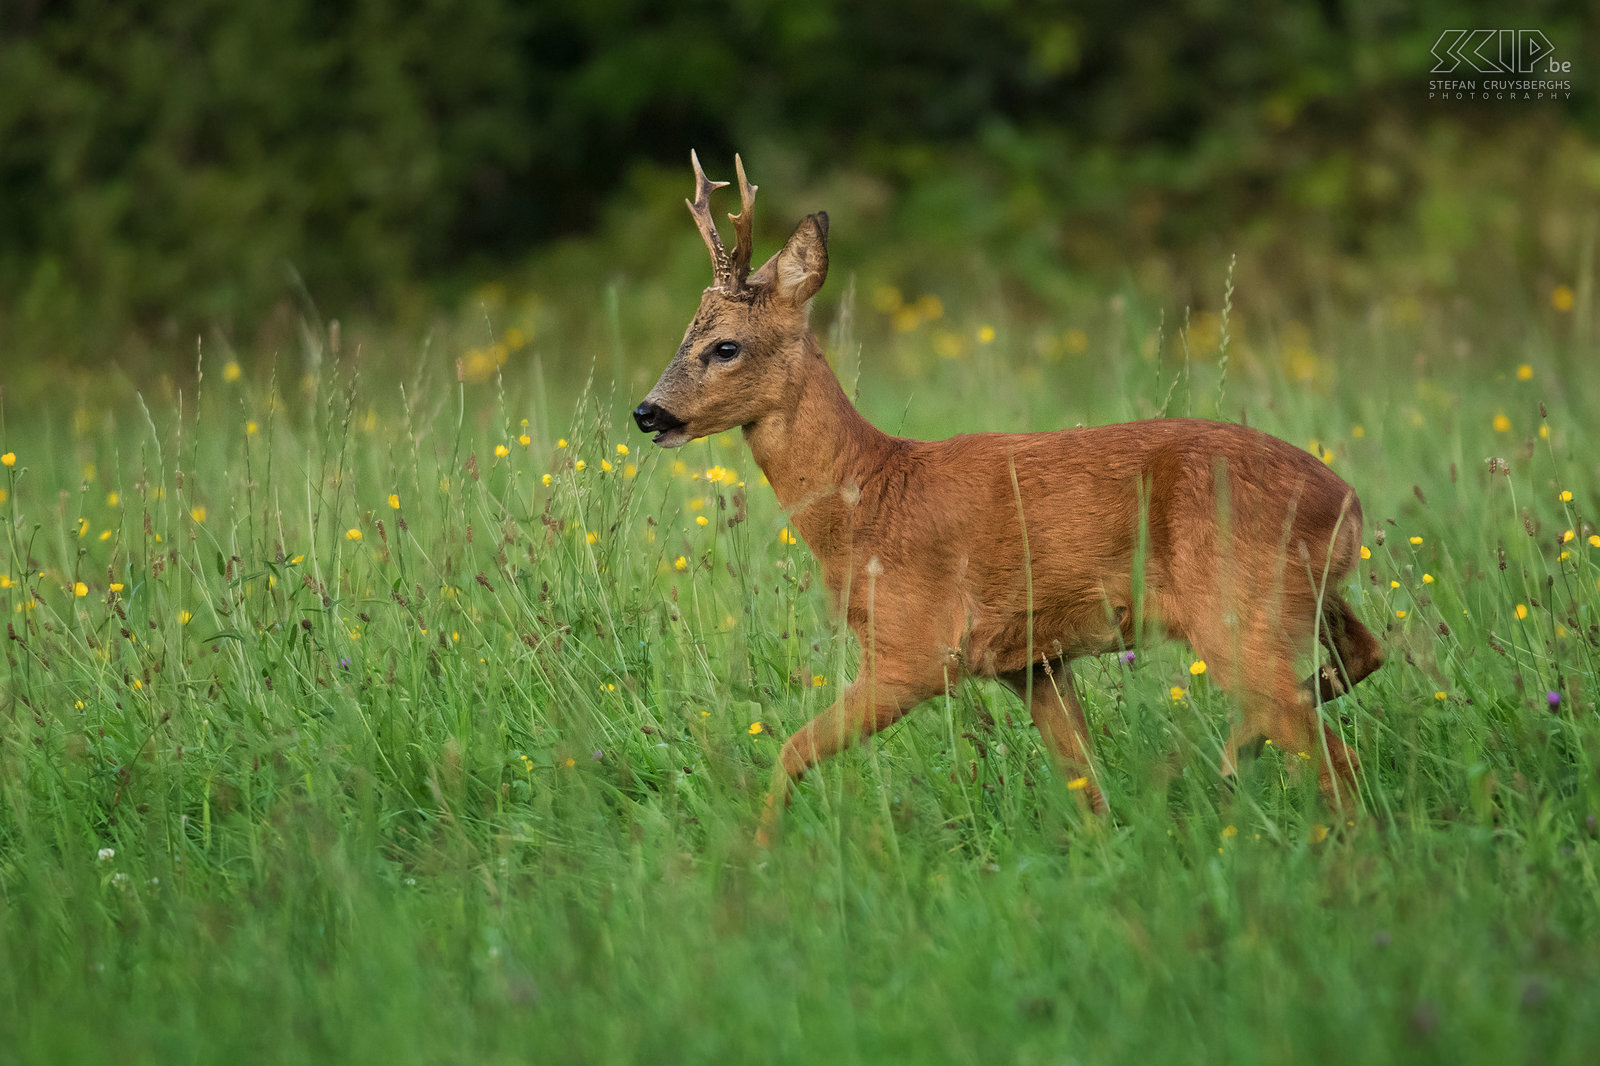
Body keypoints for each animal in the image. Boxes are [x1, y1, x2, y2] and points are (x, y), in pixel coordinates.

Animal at [630, 149, 1382, 832]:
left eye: (725, 346)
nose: (648, 413)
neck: (868, 496)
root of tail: (1347, 504)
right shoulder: (1032, 662)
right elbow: (1087, 788)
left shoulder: (915, 648)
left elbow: (789, 751)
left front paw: (760, 855)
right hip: (1296, 597)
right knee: (1361, 657)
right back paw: (1230, 759)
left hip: (1237, 605)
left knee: (1332, 756)